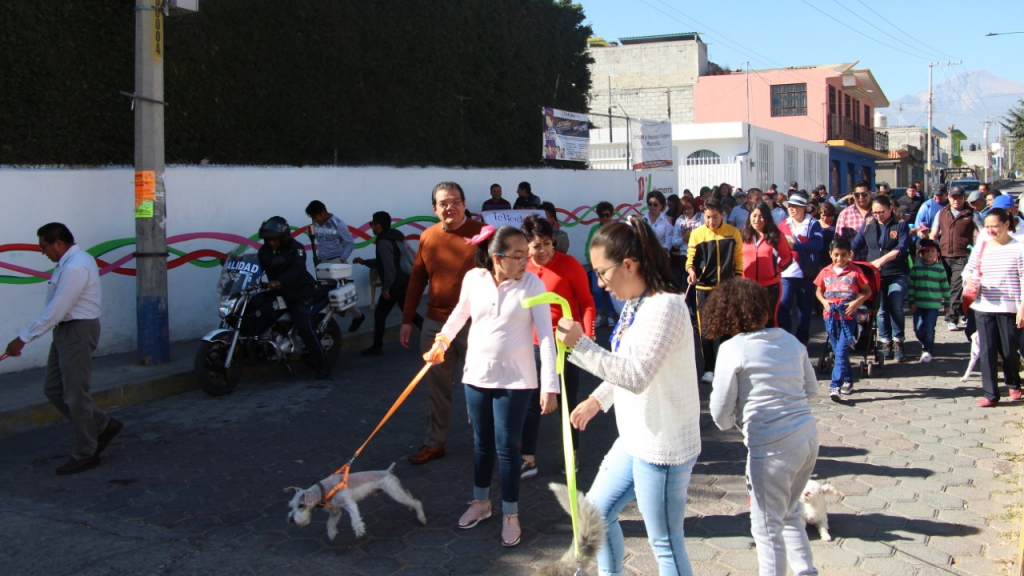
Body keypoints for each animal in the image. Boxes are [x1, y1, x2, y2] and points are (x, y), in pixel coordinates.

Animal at [284, 461, 423, 537]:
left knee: (416, 502)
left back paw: (421, 517)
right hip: (395, 490)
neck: (324, 489)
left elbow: (355, 518)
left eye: (301, 505)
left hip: (394, 492)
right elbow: (330, 522)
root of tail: (387, 471)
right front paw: (331, 533)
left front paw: (359, 531)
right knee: (408, 493)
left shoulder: (349, 504)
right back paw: (411, 508)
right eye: (291, 506)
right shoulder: (335, 511)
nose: (290, 519)